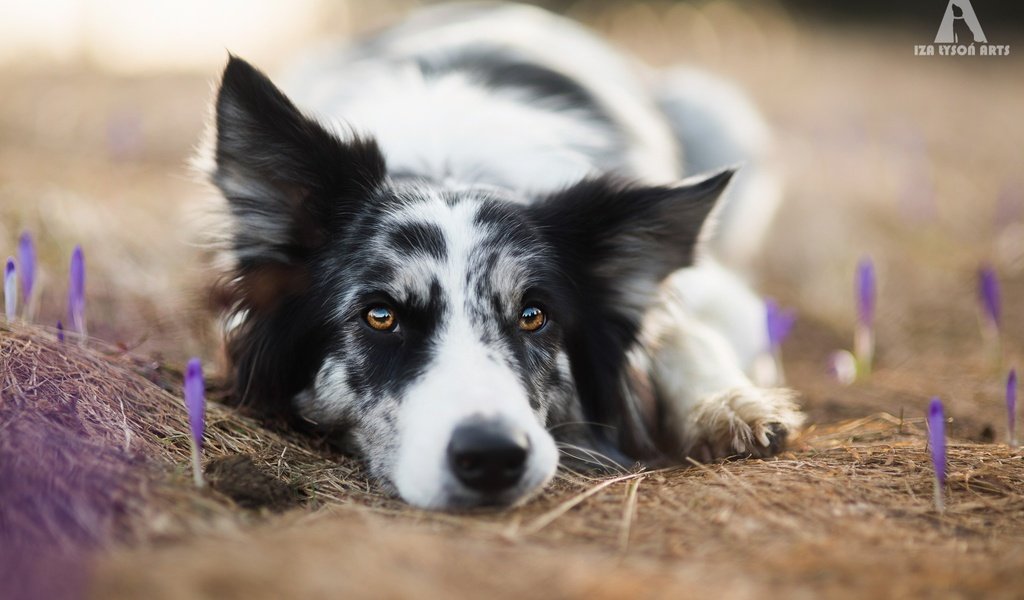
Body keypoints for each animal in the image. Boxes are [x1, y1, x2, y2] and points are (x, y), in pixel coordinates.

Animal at [197, 1, 798, 509]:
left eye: (534, 315)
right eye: (380, 315)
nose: (492, 458)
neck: (448, 163)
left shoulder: (719, 294)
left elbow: (687, 331)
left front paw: (728, 405)